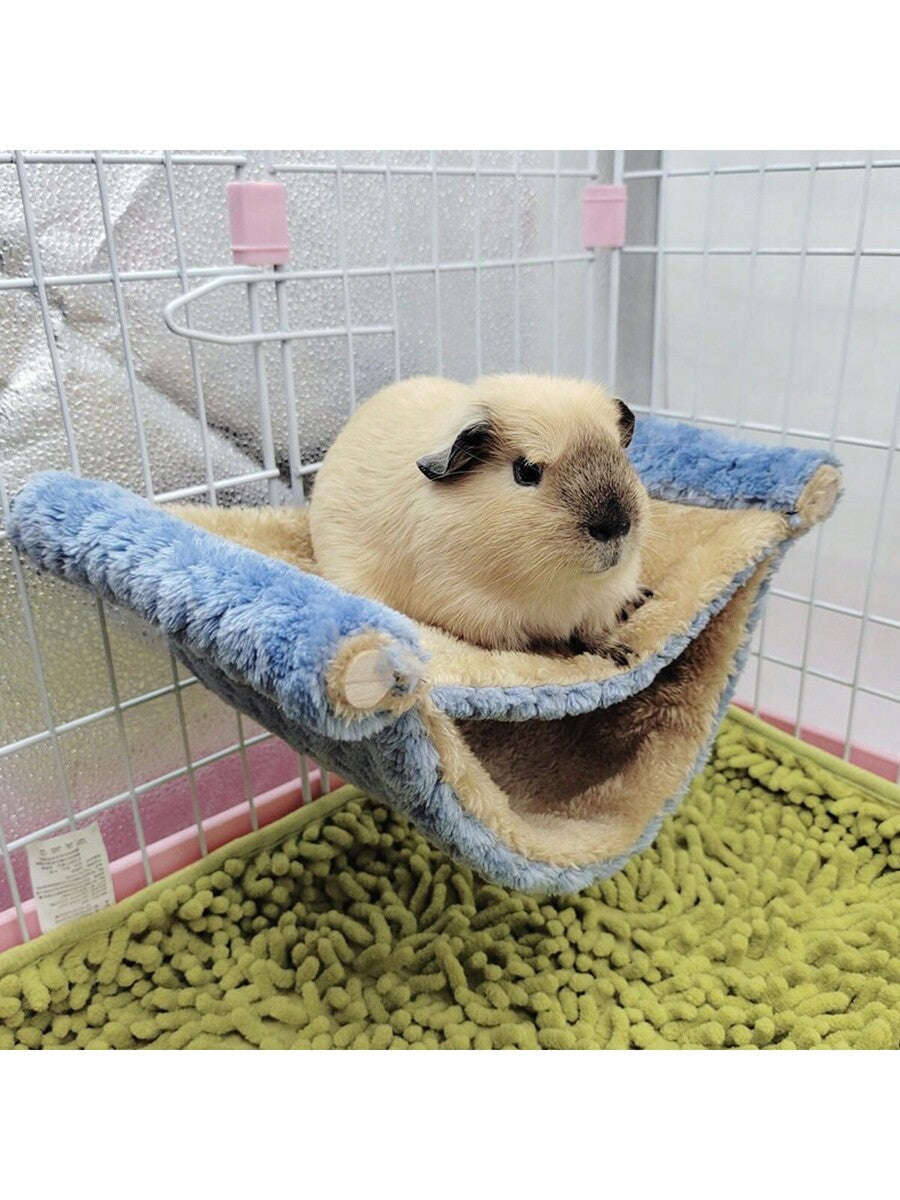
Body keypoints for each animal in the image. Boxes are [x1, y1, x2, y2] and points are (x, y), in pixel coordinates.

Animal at [308, 374, 651, 660]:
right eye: (526, 471)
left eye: (619, 454)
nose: (615, 526)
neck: (563, 589)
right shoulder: (475, 612)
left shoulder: (600, 602)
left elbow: (593, 632)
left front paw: (622, 653)